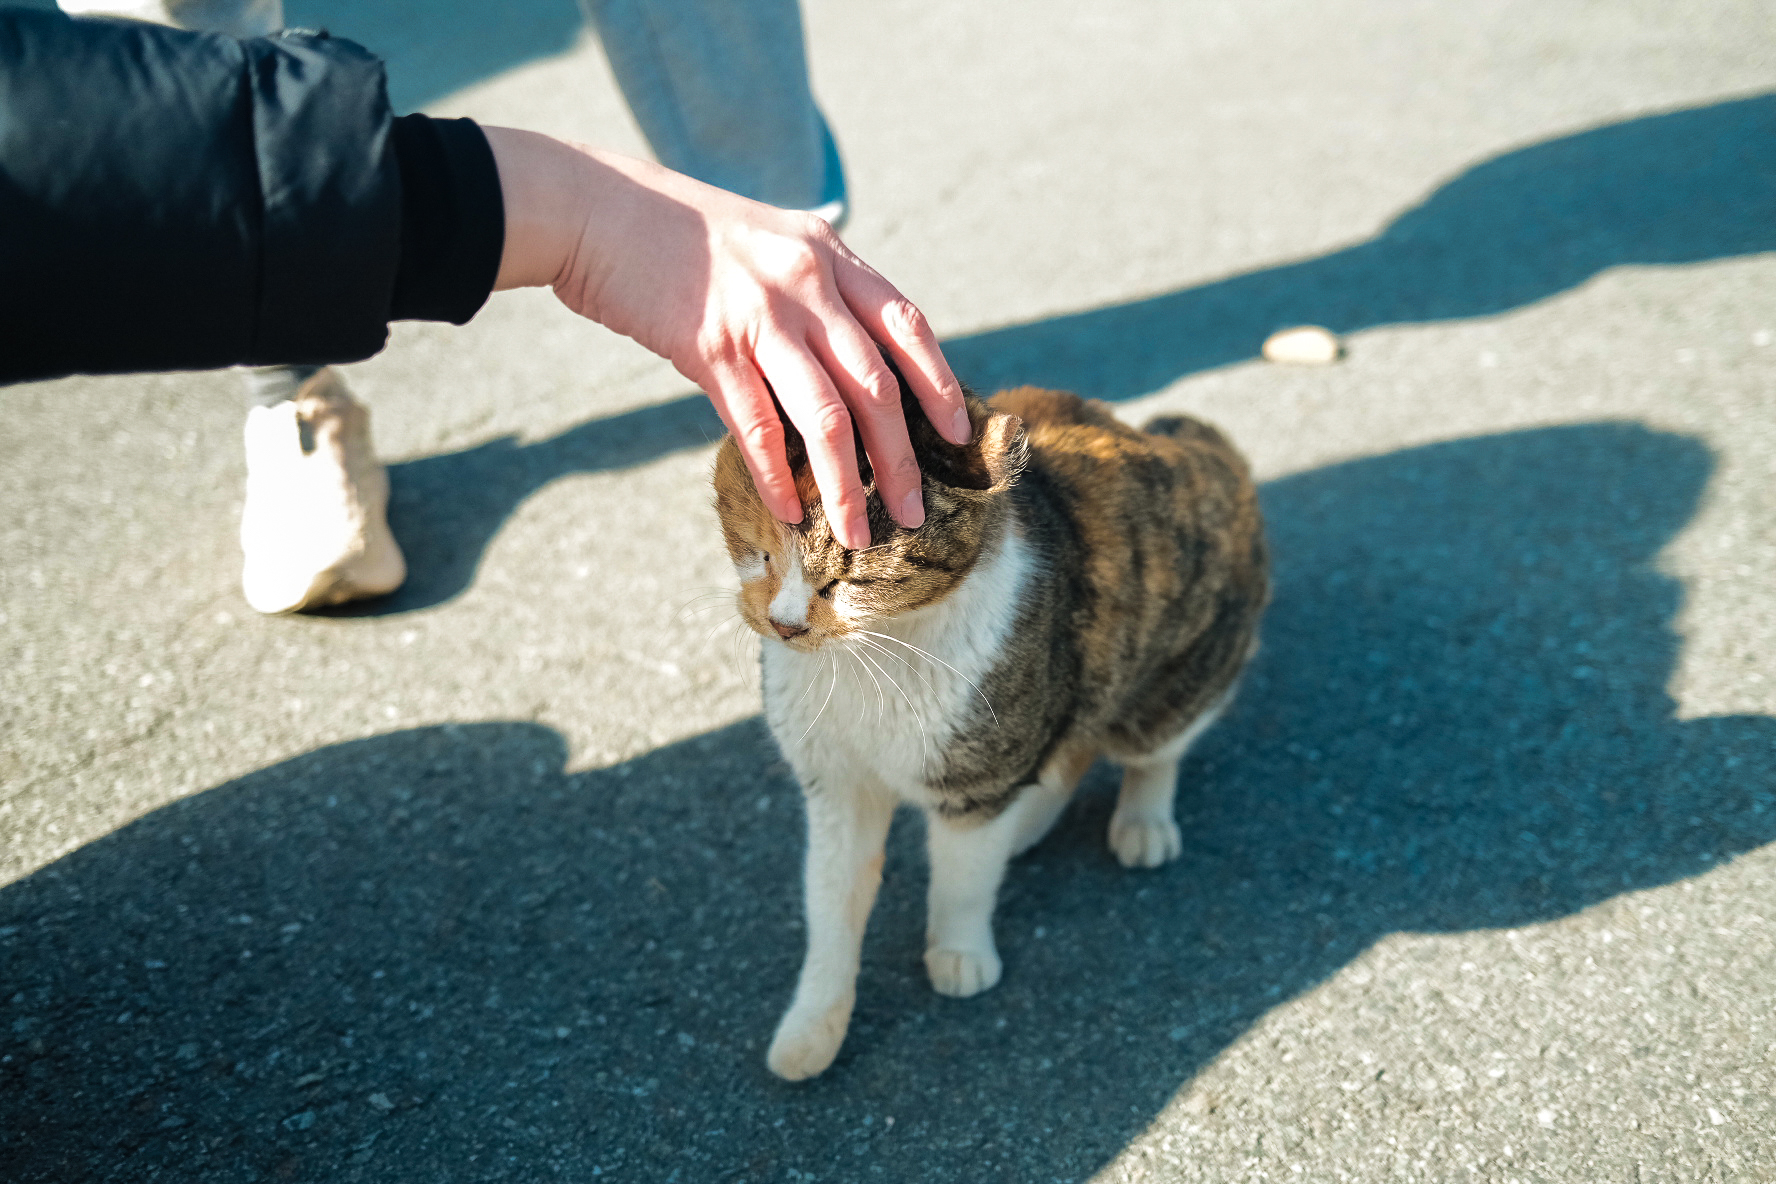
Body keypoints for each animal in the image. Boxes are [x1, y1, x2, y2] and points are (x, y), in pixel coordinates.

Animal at [706, 381, 1264, 1086]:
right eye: (761, 550)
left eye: (852, 580)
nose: (784, 625)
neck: (868, 655)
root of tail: (1194, 445)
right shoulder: (836, 786)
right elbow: (831, 907)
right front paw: (813, 1029)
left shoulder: (977, 780)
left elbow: (962, 879)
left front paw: (958, 954)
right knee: (1071, 745)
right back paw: (1028, 825)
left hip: (1168, 679)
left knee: (1147, 748)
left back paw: (1142, 821)